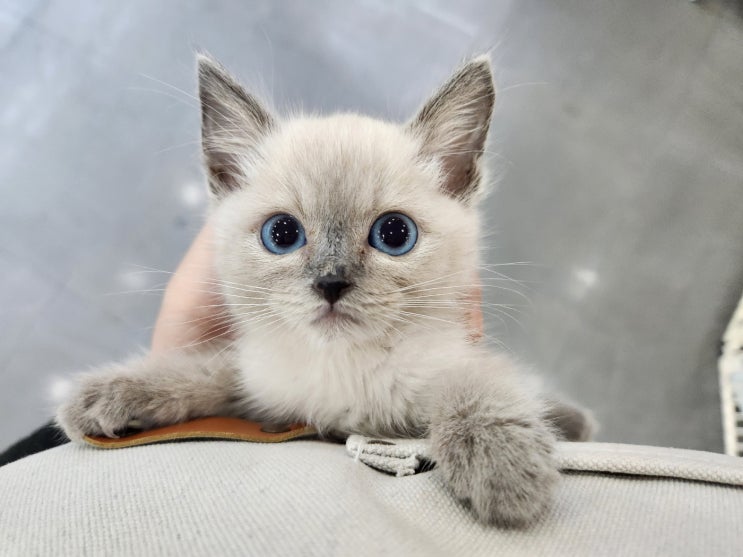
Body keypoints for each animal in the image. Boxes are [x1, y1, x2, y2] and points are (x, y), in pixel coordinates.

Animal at [57, 54, 592, 528]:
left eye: (394, 234)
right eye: (281, 234)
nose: (331, 282)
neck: (342, 367)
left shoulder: (452, 361)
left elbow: (479, 388)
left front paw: (505, 470)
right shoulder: (259, 380)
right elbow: (202, 371)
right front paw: (108, 396)